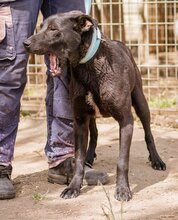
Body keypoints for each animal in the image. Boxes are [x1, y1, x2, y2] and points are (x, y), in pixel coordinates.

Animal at [23, 10, 165, 201]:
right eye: (41, 27)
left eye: (53, 29)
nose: (25, 43)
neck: (89, 66)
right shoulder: (80, 120)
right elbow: (78, 160)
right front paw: (74, 187)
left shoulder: (126, 121)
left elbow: (122, 161)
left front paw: (122, 190)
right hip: (90, 114)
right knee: (95, 133)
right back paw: (90, 156)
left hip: (141, 102)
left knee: (148, 133)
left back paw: (156, 160)